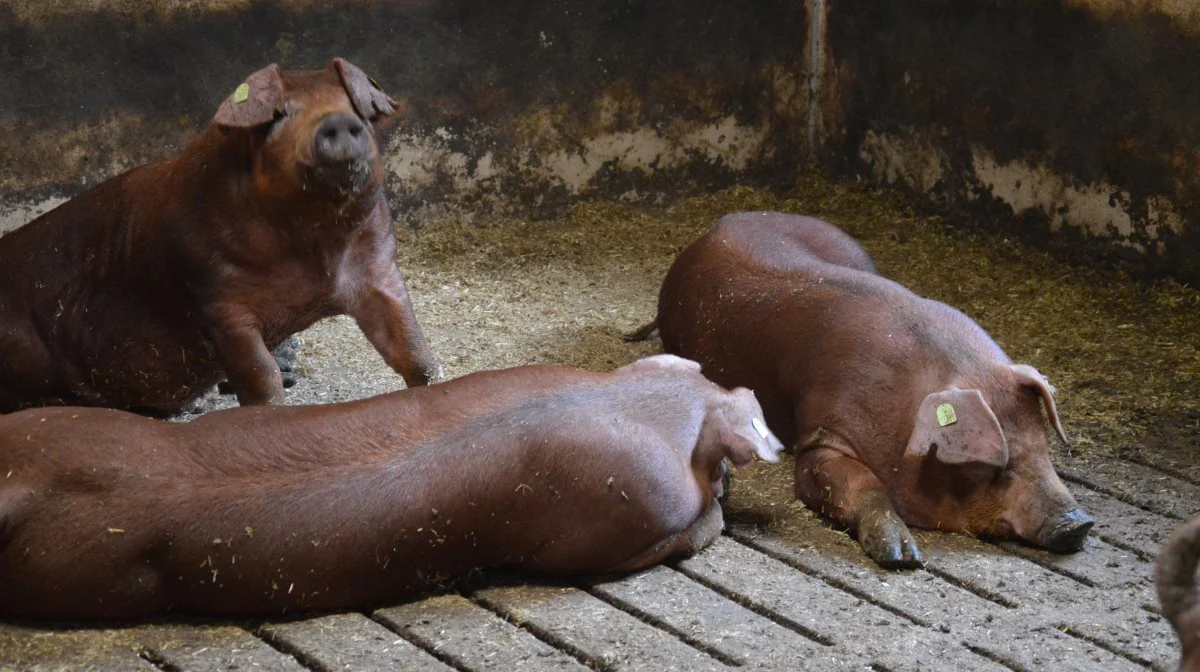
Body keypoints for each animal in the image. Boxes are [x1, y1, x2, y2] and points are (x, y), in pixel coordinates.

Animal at [0, 57, 441, 415]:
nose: (336, 120)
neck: (316, 254)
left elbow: (413, 349)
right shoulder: (218, 300)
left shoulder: (378, 269)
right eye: (280, 115)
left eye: (356, 110)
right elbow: (259, 375)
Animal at [638, 212, 1099, 568]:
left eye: (1044, 448)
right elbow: (857, 484)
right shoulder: (823, 436)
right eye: (999, 467)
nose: (1080, 523)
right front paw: (903, 557)